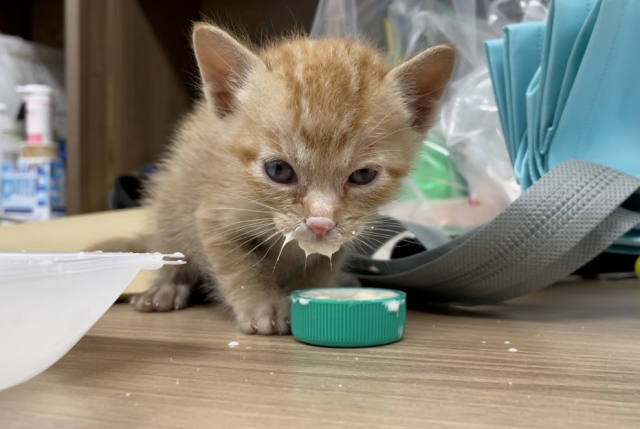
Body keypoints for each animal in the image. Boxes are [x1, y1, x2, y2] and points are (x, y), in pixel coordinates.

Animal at [94, 23, 456, 334]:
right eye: (279, 170)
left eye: (363, 175)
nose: (321, 223)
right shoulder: (214, 215)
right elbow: (240, 268)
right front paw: (262, 304)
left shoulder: (348, 232)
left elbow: (322, 266)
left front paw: (310, 293)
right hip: (171, 205)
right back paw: (167, 287)